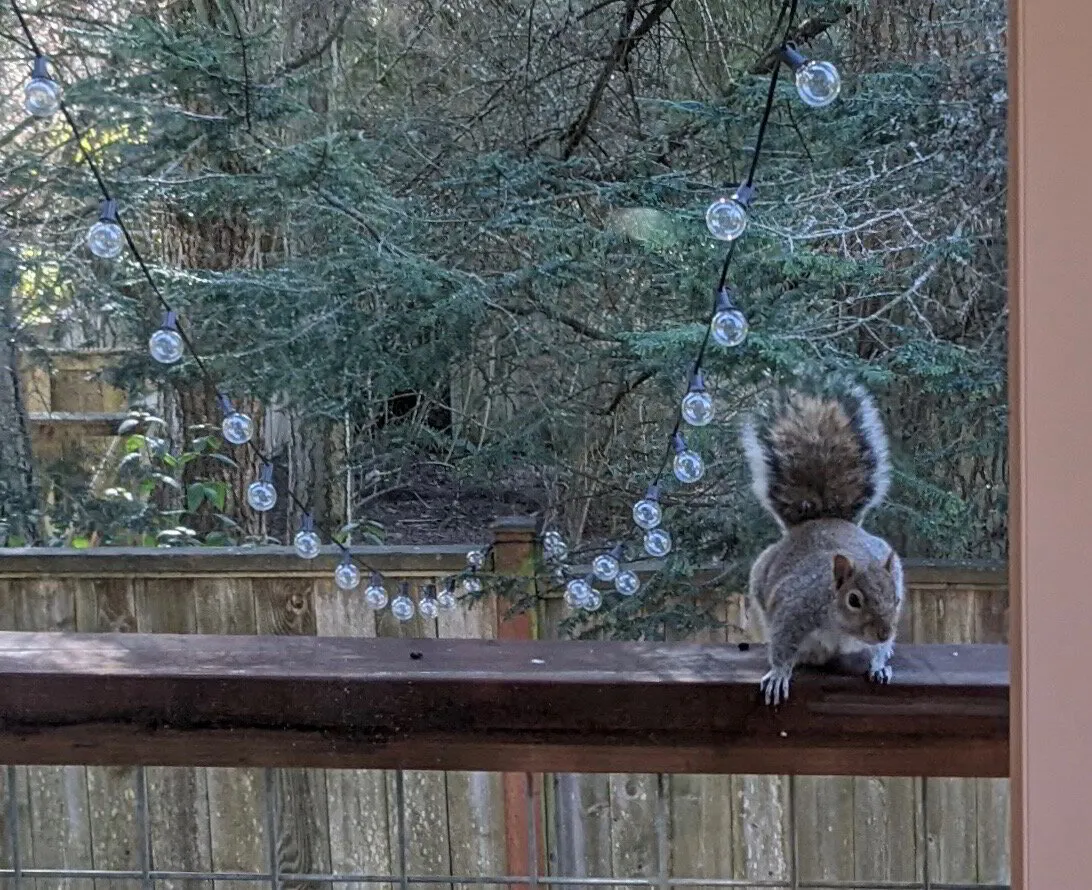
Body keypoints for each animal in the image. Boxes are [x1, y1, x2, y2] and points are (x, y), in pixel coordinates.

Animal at [740, 382, 904, 706]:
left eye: (896, 599)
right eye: (854, 600)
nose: (883, 633)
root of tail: (822, 519)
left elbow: (879, 654)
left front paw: (880, 665)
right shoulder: (794, 610)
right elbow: (782, 645)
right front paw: (779, 675)